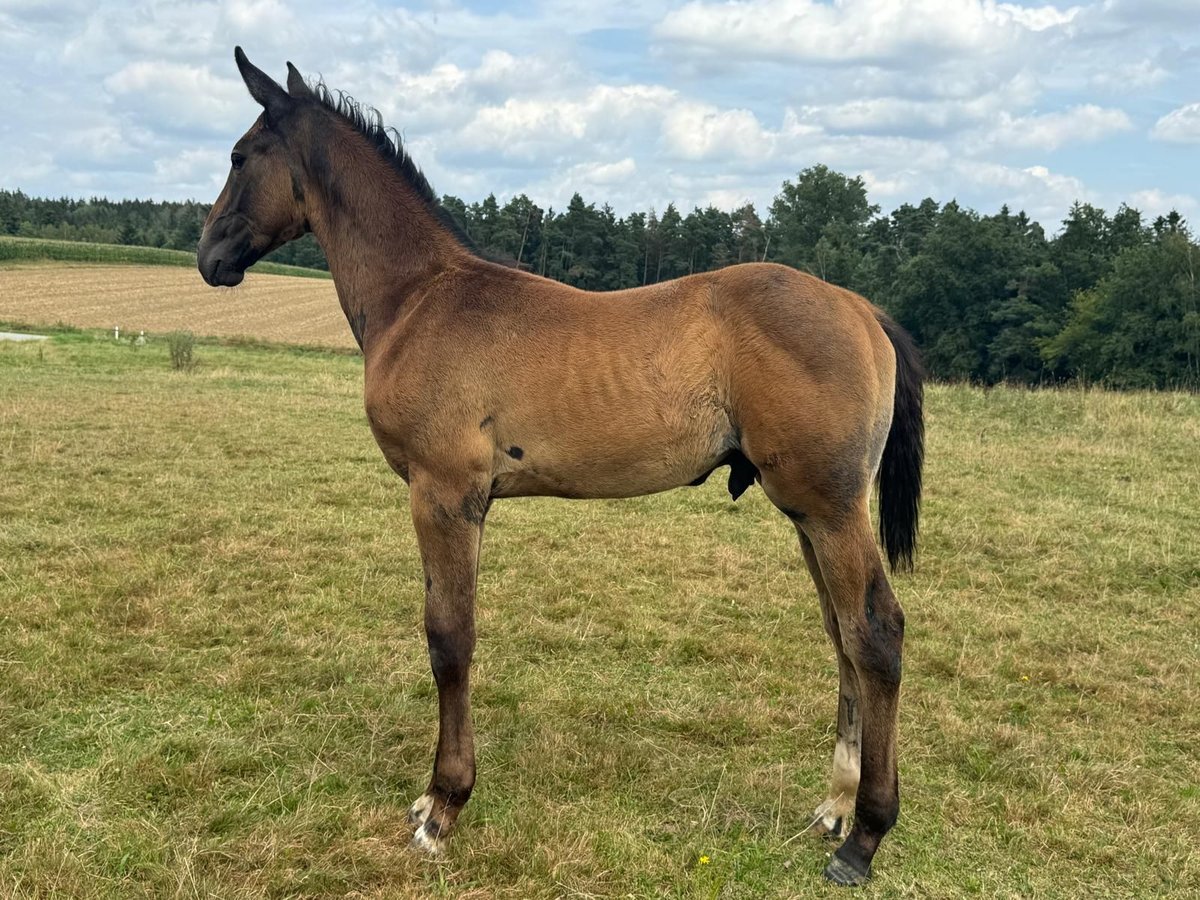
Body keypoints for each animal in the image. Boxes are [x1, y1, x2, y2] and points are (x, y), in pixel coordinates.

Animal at [199, 49, 926, 888]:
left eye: (239, 157)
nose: (208, 255)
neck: (422, 297)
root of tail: (862, 310)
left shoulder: (444, 495)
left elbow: (449, 636)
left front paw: (441, 807)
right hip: (812, 512)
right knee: (841, 632)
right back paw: (835, 805)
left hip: (830, 508)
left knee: (875, 633)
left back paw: (862, 838)